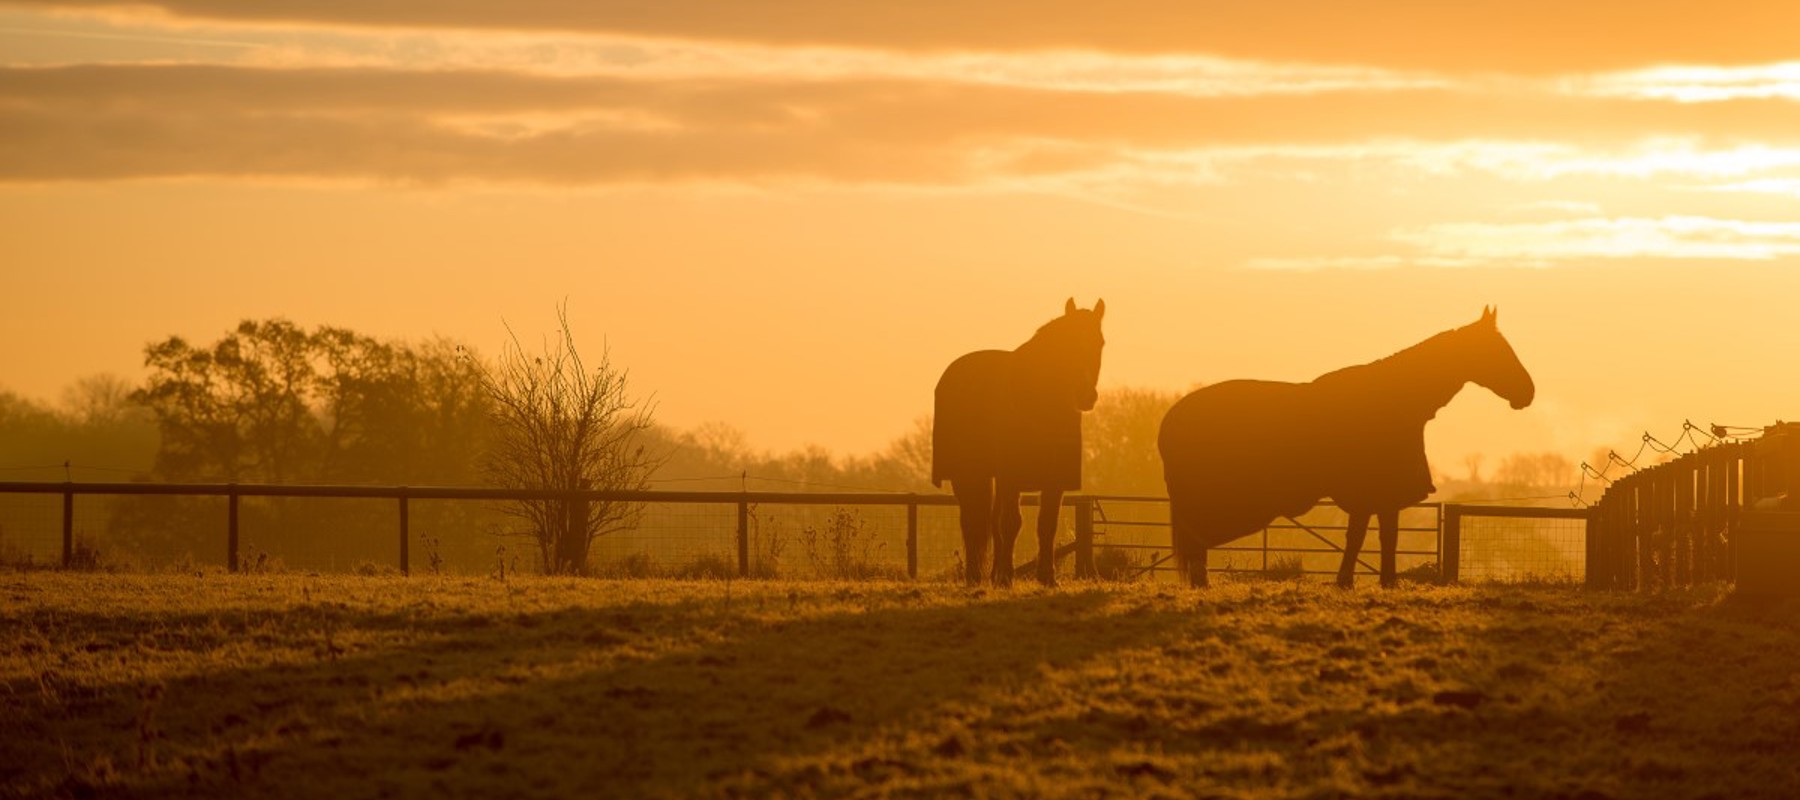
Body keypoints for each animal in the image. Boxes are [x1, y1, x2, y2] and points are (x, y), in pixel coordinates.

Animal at [933, 298, 1106, 586]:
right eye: (1067, 343)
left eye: (1100, 342)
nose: (1085, 395)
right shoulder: (1011, 476)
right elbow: (1011, 523)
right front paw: (1006, 576)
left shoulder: (1054, 480)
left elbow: (1046, 524)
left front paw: (1047, 576)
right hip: (967, 475)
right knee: (972, 520)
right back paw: (975, 576)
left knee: (990, 521)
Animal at [1158, 307, 1534, 588]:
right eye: (1498, 349)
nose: (1527, 392)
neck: (1400, 401)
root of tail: (1170, 419)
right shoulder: (1375, 491)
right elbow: (1368, 537)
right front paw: (1360, 581)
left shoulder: (1379, 495)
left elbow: (1375, 536)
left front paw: (1372, 581)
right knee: (1196, 540)